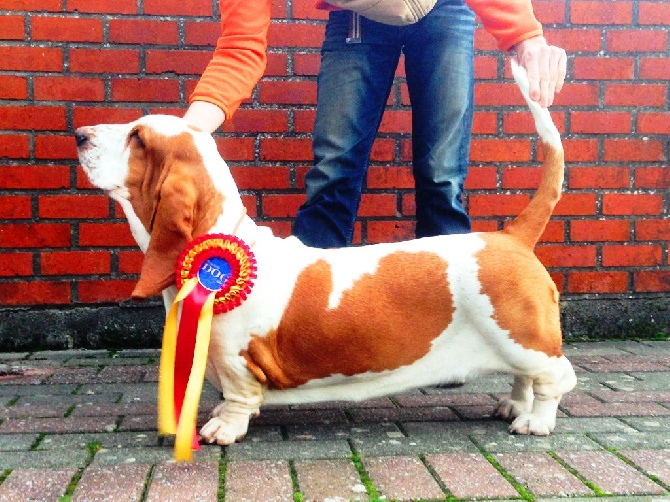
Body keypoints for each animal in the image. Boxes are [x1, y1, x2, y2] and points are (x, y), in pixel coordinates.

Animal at [75, 61, 576, 444]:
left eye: (138, 139)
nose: (79, 133)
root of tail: (512, 236)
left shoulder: (237, 361)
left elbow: (238, 398)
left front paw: (222, 429)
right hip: (518, 346)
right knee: (526, 378)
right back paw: (512, 406)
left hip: (523, 338)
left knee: (556, 377)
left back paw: (534, 422)